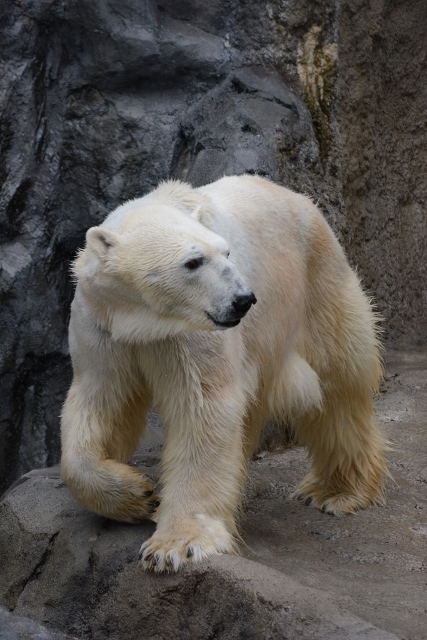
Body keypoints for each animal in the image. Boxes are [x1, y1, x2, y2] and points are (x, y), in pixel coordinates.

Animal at [61, 174, 388, 568]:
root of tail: (301, 200)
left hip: (315, 286)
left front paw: (176, 544)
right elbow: (103, 400)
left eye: (227, 253)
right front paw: (137, 495)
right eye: (193, 262)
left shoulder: (189, 331)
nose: (243, 300)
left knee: (338, 383)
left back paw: (337, 492)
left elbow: (202, 408)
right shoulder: (102, 324)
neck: (142, 319)